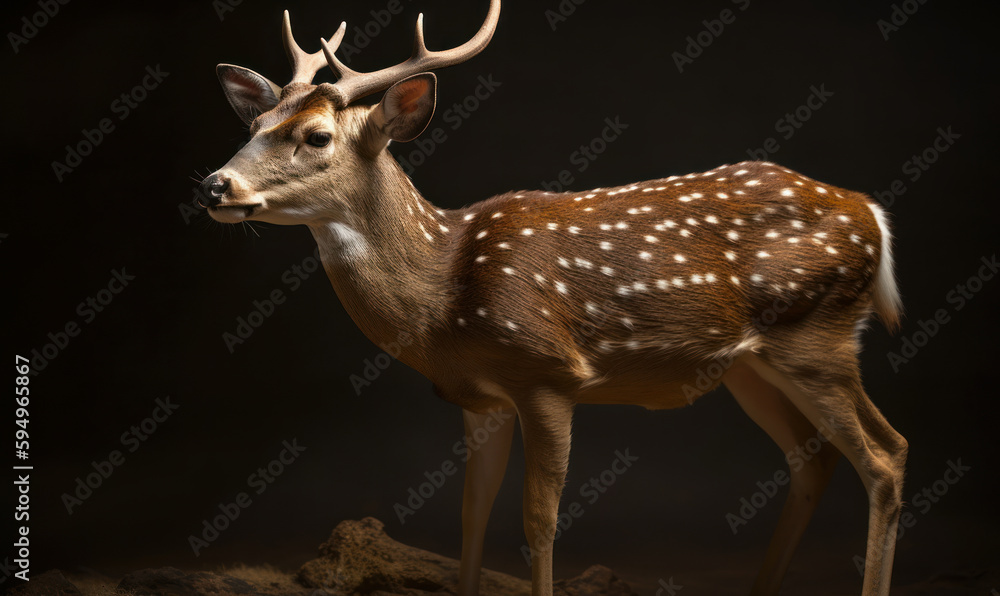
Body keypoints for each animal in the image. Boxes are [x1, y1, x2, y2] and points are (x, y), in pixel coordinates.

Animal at [201, 1, 908, 594]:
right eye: (255, 123)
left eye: (317, 136)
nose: (214, 185)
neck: (443, 294)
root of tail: (872, 214)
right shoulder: (478, 398)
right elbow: (472, 513)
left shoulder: (547, 374)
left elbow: (537, 521)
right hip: (748, 365)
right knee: (813, 459)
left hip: (816, 337)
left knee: (884, 455)